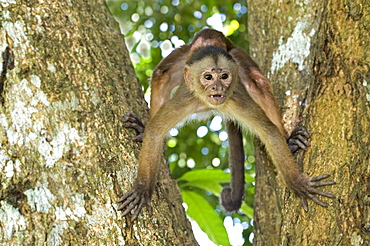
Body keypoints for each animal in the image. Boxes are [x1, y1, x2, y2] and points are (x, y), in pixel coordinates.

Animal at [118, 28, 336, 221]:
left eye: (224, 76)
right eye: (208, 77)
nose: (218, 88)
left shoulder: (235, 99)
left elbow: (270, 132)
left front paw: (298, 184)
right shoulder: (186, 100)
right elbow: (155, 130)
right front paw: (143, 188)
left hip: (237, 57)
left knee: (258, 84)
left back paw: (291, 141)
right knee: (162, 74)